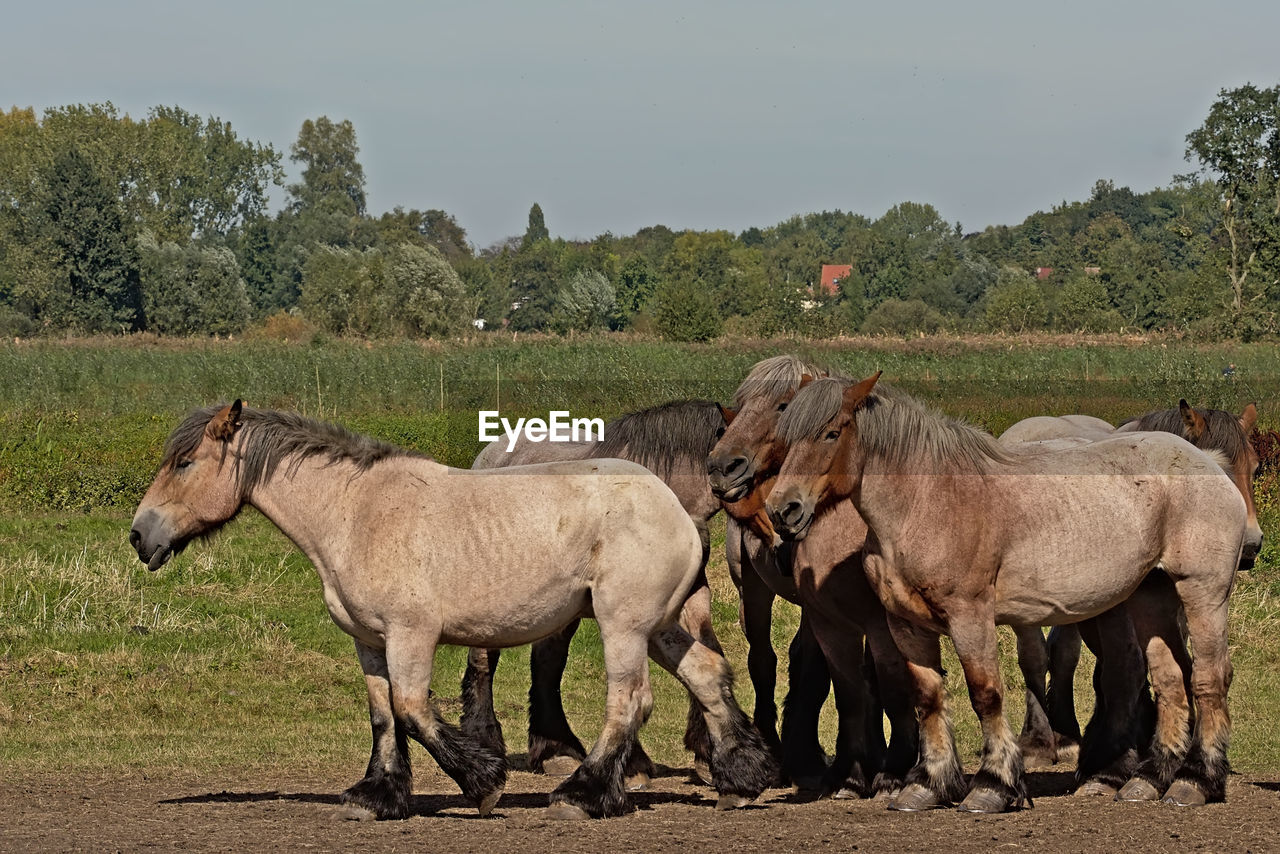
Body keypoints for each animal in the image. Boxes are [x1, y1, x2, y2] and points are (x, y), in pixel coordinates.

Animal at [129, 404, 773, 819]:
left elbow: (413, 710)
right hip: (660, 627)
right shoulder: (370, 642)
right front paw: (377, 796)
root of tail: (678, 511)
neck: (355, 512)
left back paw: (583, 795)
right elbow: (383, 716)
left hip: (625, 626)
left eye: (184, 464)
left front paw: (482, 784)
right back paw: (742, 780)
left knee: (630, 700)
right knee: (707, 677)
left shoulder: (410, 635)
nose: (139, 536)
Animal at [768, 376, 1239, 814]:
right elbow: (927, 699)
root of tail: (1209, 463)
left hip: (1203, 593)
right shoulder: (906, 625)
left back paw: (1195, 780)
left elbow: (986, 695)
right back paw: (1150, 779)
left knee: (1208, 679)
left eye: (831, 433)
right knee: (1171, 680)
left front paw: (993, 785)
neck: (931, 503)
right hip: (1150, 596)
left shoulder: (970, 617)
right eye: (786, 436)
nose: (782, 510)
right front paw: (927, 785)